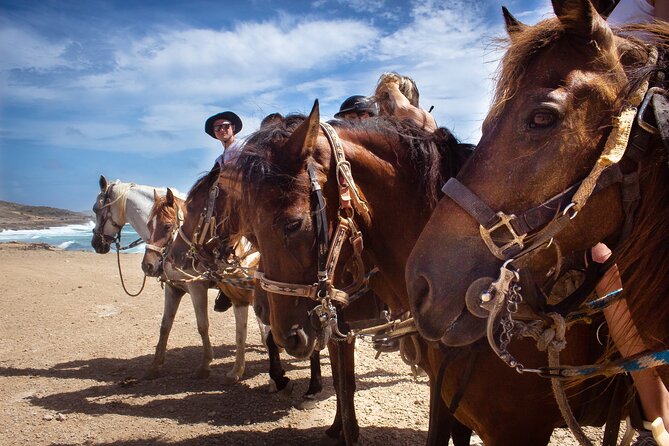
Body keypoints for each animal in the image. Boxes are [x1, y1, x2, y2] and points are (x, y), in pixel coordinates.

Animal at [228, 103, 474, 444]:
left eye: (292, 224)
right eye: (250, 232)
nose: (287, 336)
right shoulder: (336, 329)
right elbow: (344, 385)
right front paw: (339, 428)